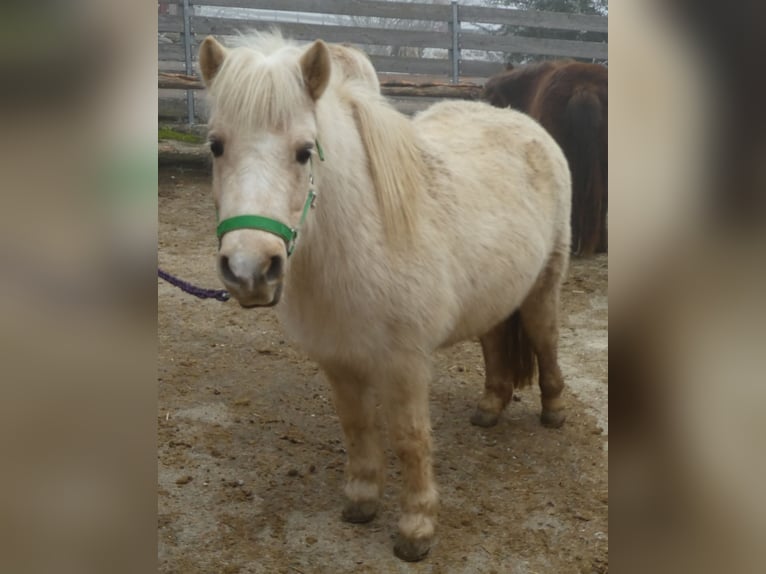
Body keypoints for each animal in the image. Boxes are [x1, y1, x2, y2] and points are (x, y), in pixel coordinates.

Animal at [196, 33, 568, 564]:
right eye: (216, 145)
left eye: (305, 152)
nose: (250, 269)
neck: (361, 240)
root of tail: (523, 123)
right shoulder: (337, 360)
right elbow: (356, 427)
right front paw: (362, 499)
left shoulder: (405, 364)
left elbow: (410, 439)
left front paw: (416, 528)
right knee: (495, 340)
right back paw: (489, 408)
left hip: (543, 287)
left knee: (545, 338)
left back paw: (553, 410)